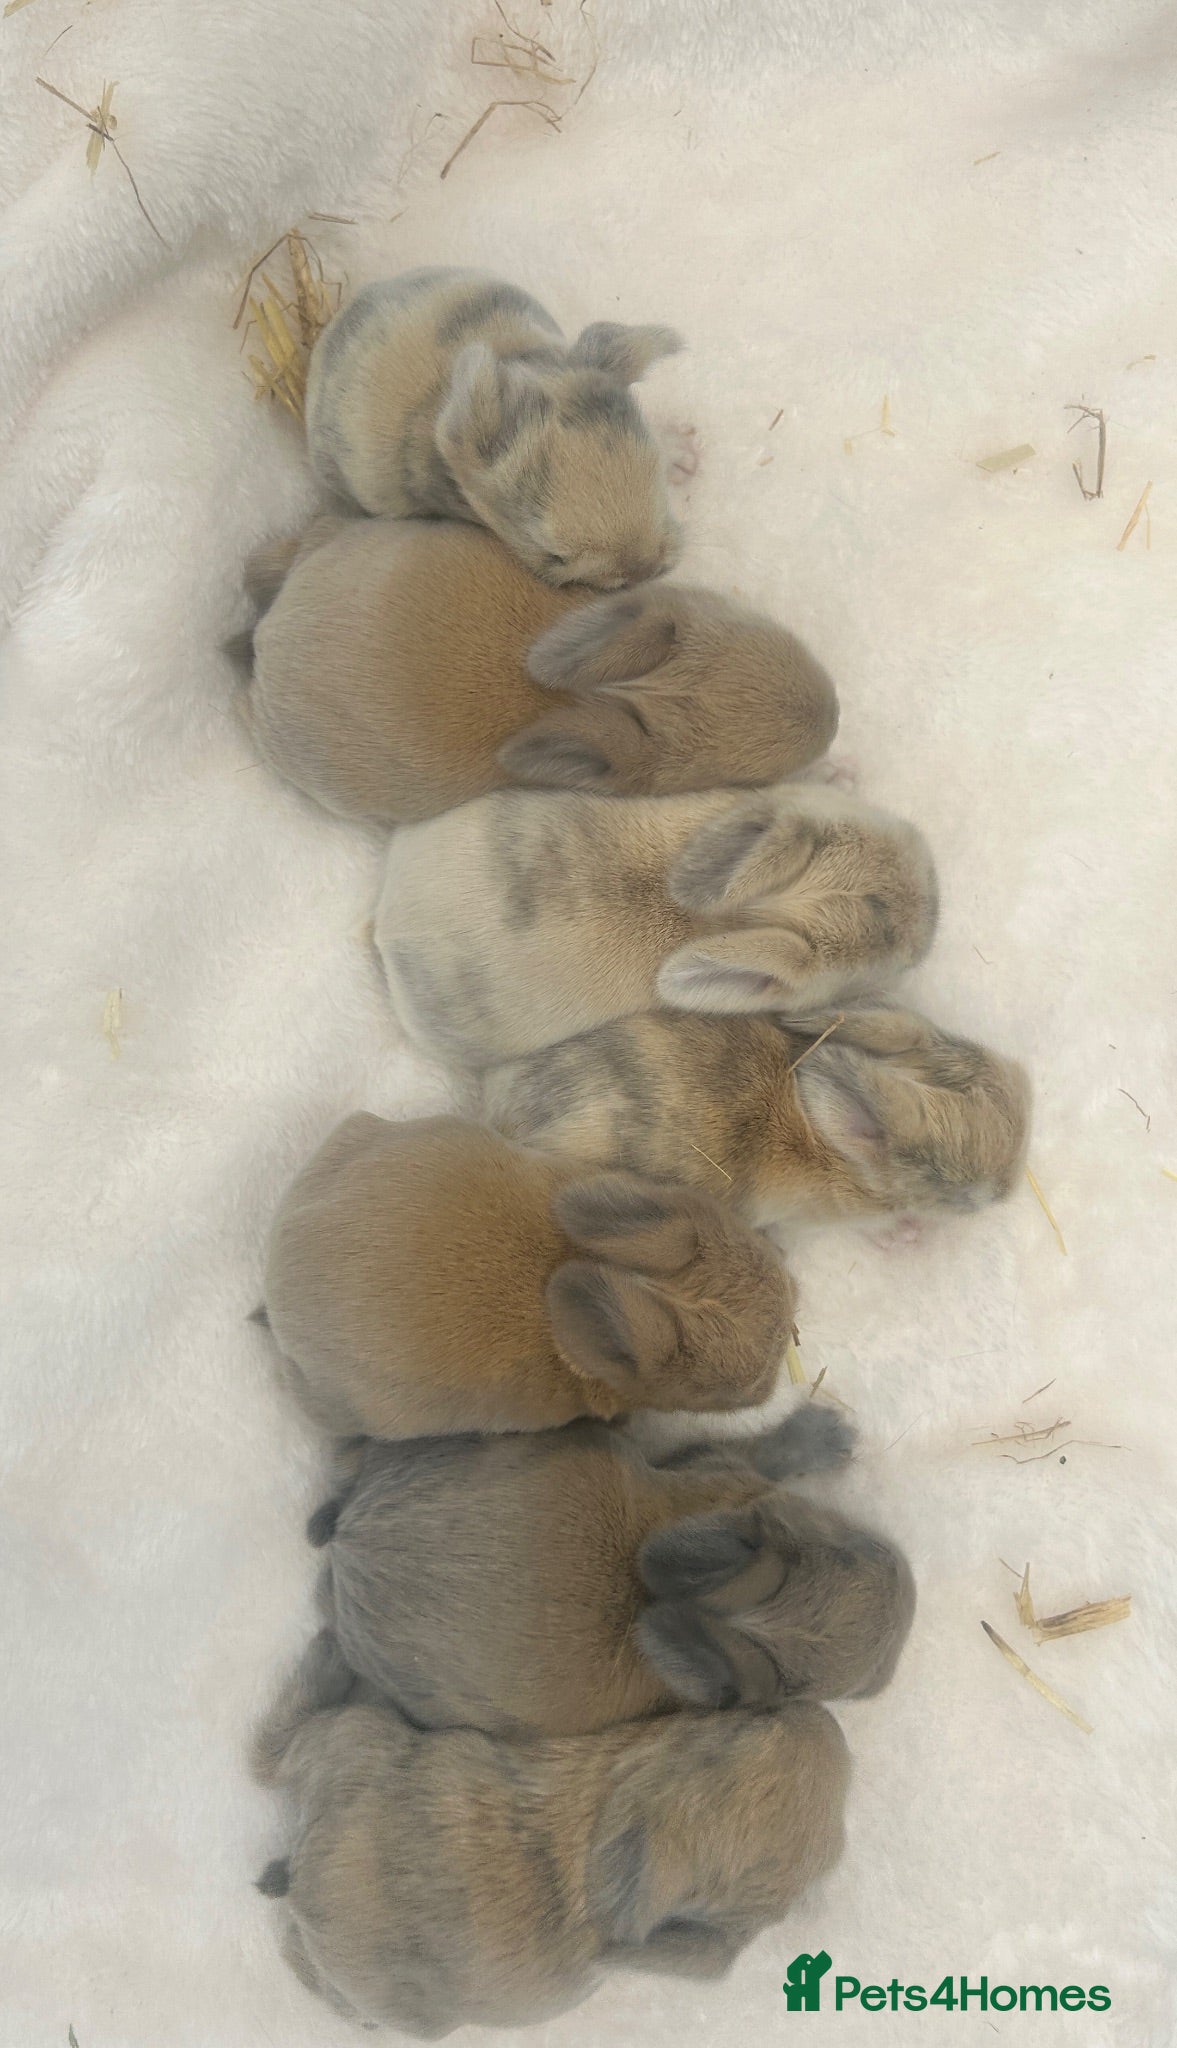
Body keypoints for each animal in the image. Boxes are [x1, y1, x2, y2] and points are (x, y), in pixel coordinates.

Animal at [252, 1628, 849, 2035]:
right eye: (755, 1723)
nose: (824, 1718)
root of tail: (307, 1891)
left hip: (351, 1735)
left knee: (270, 1754)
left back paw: (329, 1657)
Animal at [312, 1405, 914, 1737]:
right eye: (854, 1548)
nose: (908, 1585)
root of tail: (350, 1552)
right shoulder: (714, 1460)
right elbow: (767, 1453)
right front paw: (827, 1434)